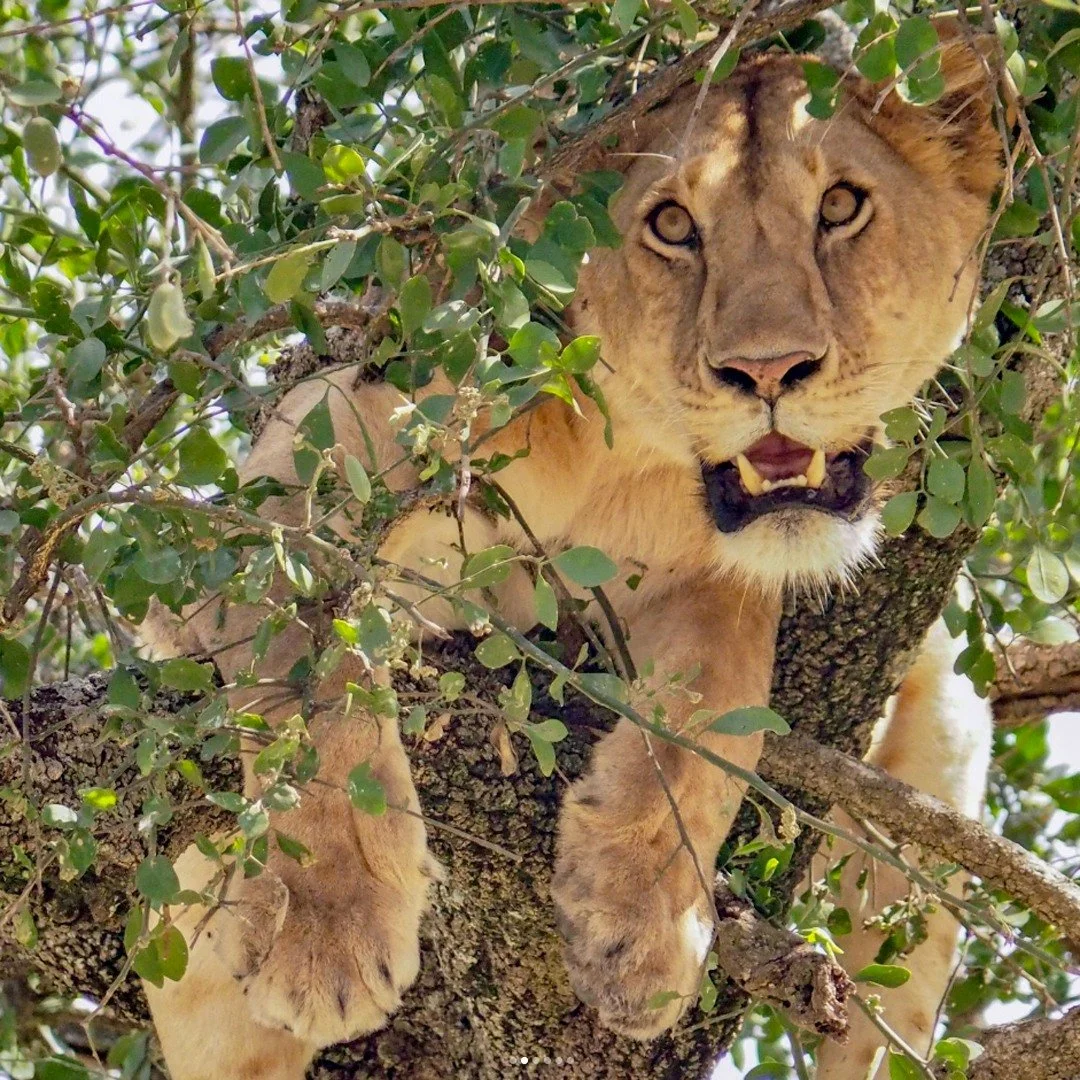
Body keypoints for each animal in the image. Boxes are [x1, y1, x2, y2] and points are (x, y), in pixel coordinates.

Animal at [143, 26, 1000, 1080]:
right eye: (673, 226)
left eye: (841, 208)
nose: (767, 370)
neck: (617, 454)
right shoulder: (303, 473)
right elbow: (320, 673)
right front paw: (328, 930)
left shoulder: (713, 579)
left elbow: (713, 719)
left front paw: (638, 929)